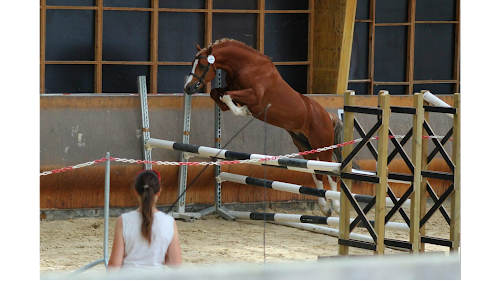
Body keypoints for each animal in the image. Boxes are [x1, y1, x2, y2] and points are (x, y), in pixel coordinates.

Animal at [184, 38, 348, 215]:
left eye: (202, 66)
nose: (188, 88)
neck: (248, 65)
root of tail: (328, 116)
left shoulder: (254, 97)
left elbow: (226, 96)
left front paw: (243, 111)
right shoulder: (234, 89)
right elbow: (217, 93)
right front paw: (235, 108)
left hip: (322, 145)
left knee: (330, 173)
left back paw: (336, 206)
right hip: (305, 146)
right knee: (317, 172)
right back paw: (324, 207)